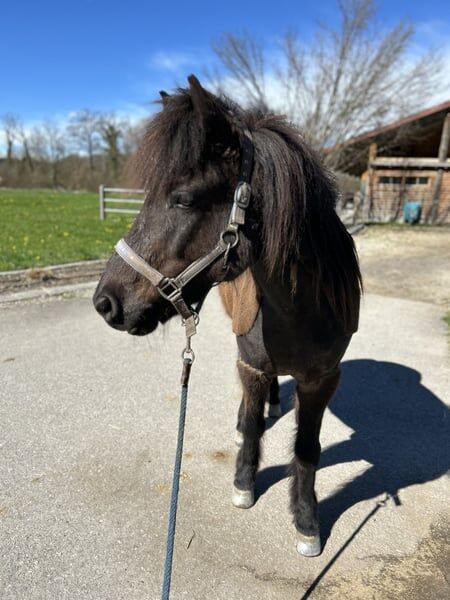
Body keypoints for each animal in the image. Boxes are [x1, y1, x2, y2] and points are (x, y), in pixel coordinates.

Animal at [94, 75, 362, 556]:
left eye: (183, 199)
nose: (105, 302)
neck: (299, 312)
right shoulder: (252, 362)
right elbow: (254, 427)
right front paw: (244, 483)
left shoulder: (323, 379)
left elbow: (308, 448)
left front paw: (306, 520)